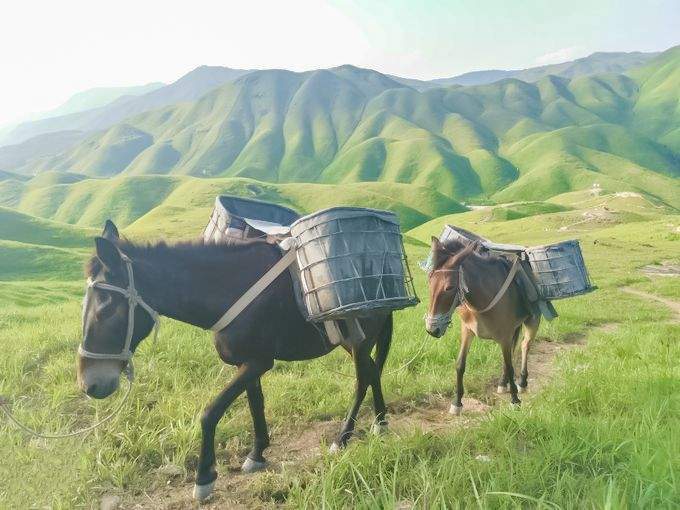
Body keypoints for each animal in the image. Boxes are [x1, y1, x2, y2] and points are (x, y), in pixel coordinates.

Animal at [76, 221, 390, 500]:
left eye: (105, 307)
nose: (89, 385)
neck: (229, 289)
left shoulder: (259, 362)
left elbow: (210, 412)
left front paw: (204, 478)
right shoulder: (247, 363)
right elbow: (255, 405)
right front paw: (257, 454)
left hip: (358, 341)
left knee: (362, 380)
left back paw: (343, 438)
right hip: (353, 343)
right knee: (373, 372)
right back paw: (381, 424)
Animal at [422, 238, 540, 414]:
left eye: (449, 287)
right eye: (429, 282)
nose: (432, 329)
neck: (483, 298)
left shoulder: (505, 336)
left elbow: (510, 365)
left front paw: (515, 400)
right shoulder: (467, 331)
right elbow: (460, 364)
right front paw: (457, 402)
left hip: (532, 321)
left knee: (525, 346)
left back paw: (522, 382)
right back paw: (503, 382)